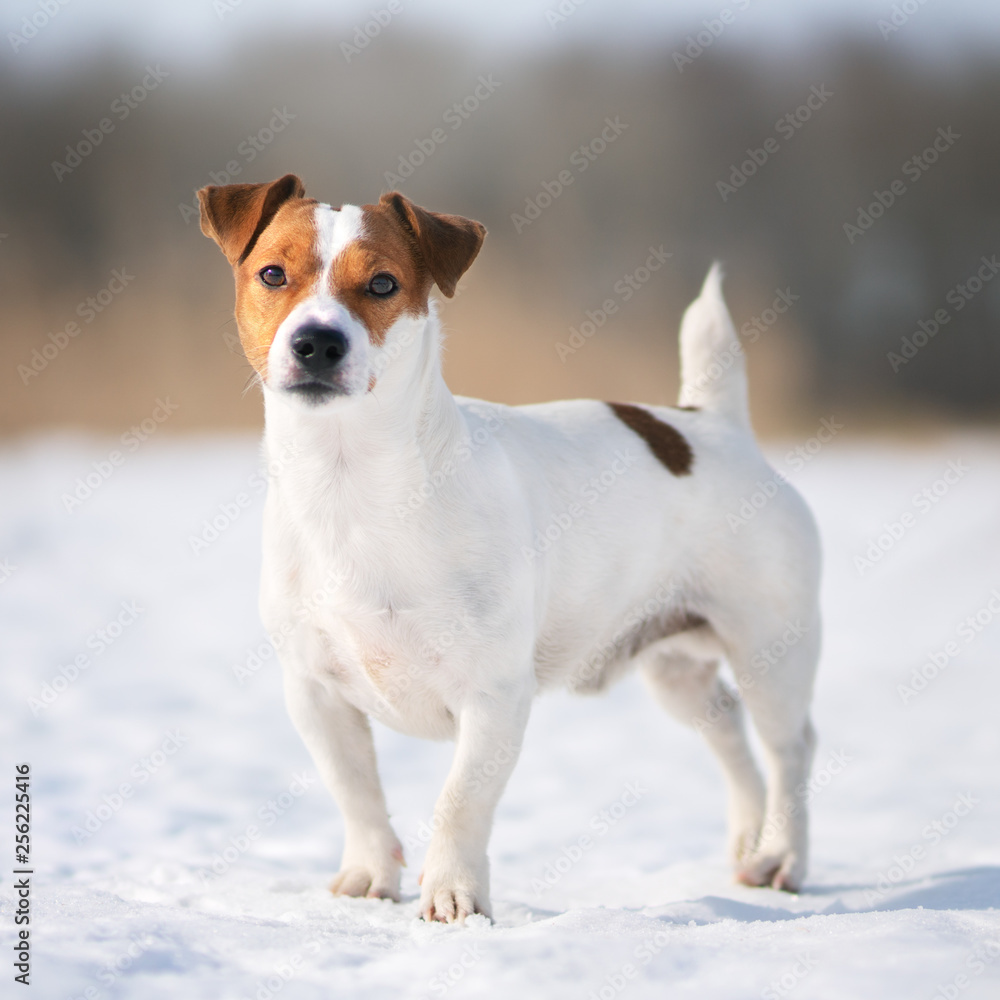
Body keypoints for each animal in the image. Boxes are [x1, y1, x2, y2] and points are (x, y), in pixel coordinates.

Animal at [201, 172, 820, 920]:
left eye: (382, 284)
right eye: (272, 273)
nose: (317, 342)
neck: (351, 487)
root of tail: (717, 424)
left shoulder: (493, 694)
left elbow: (460, 801)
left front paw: (453, 896)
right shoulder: (315, 692)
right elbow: (357, 793)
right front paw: (368, 877)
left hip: (771, 648)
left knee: (790, 748)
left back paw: (782, 855)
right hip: (675, 667)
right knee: (728, 729)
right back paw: (747, 842)